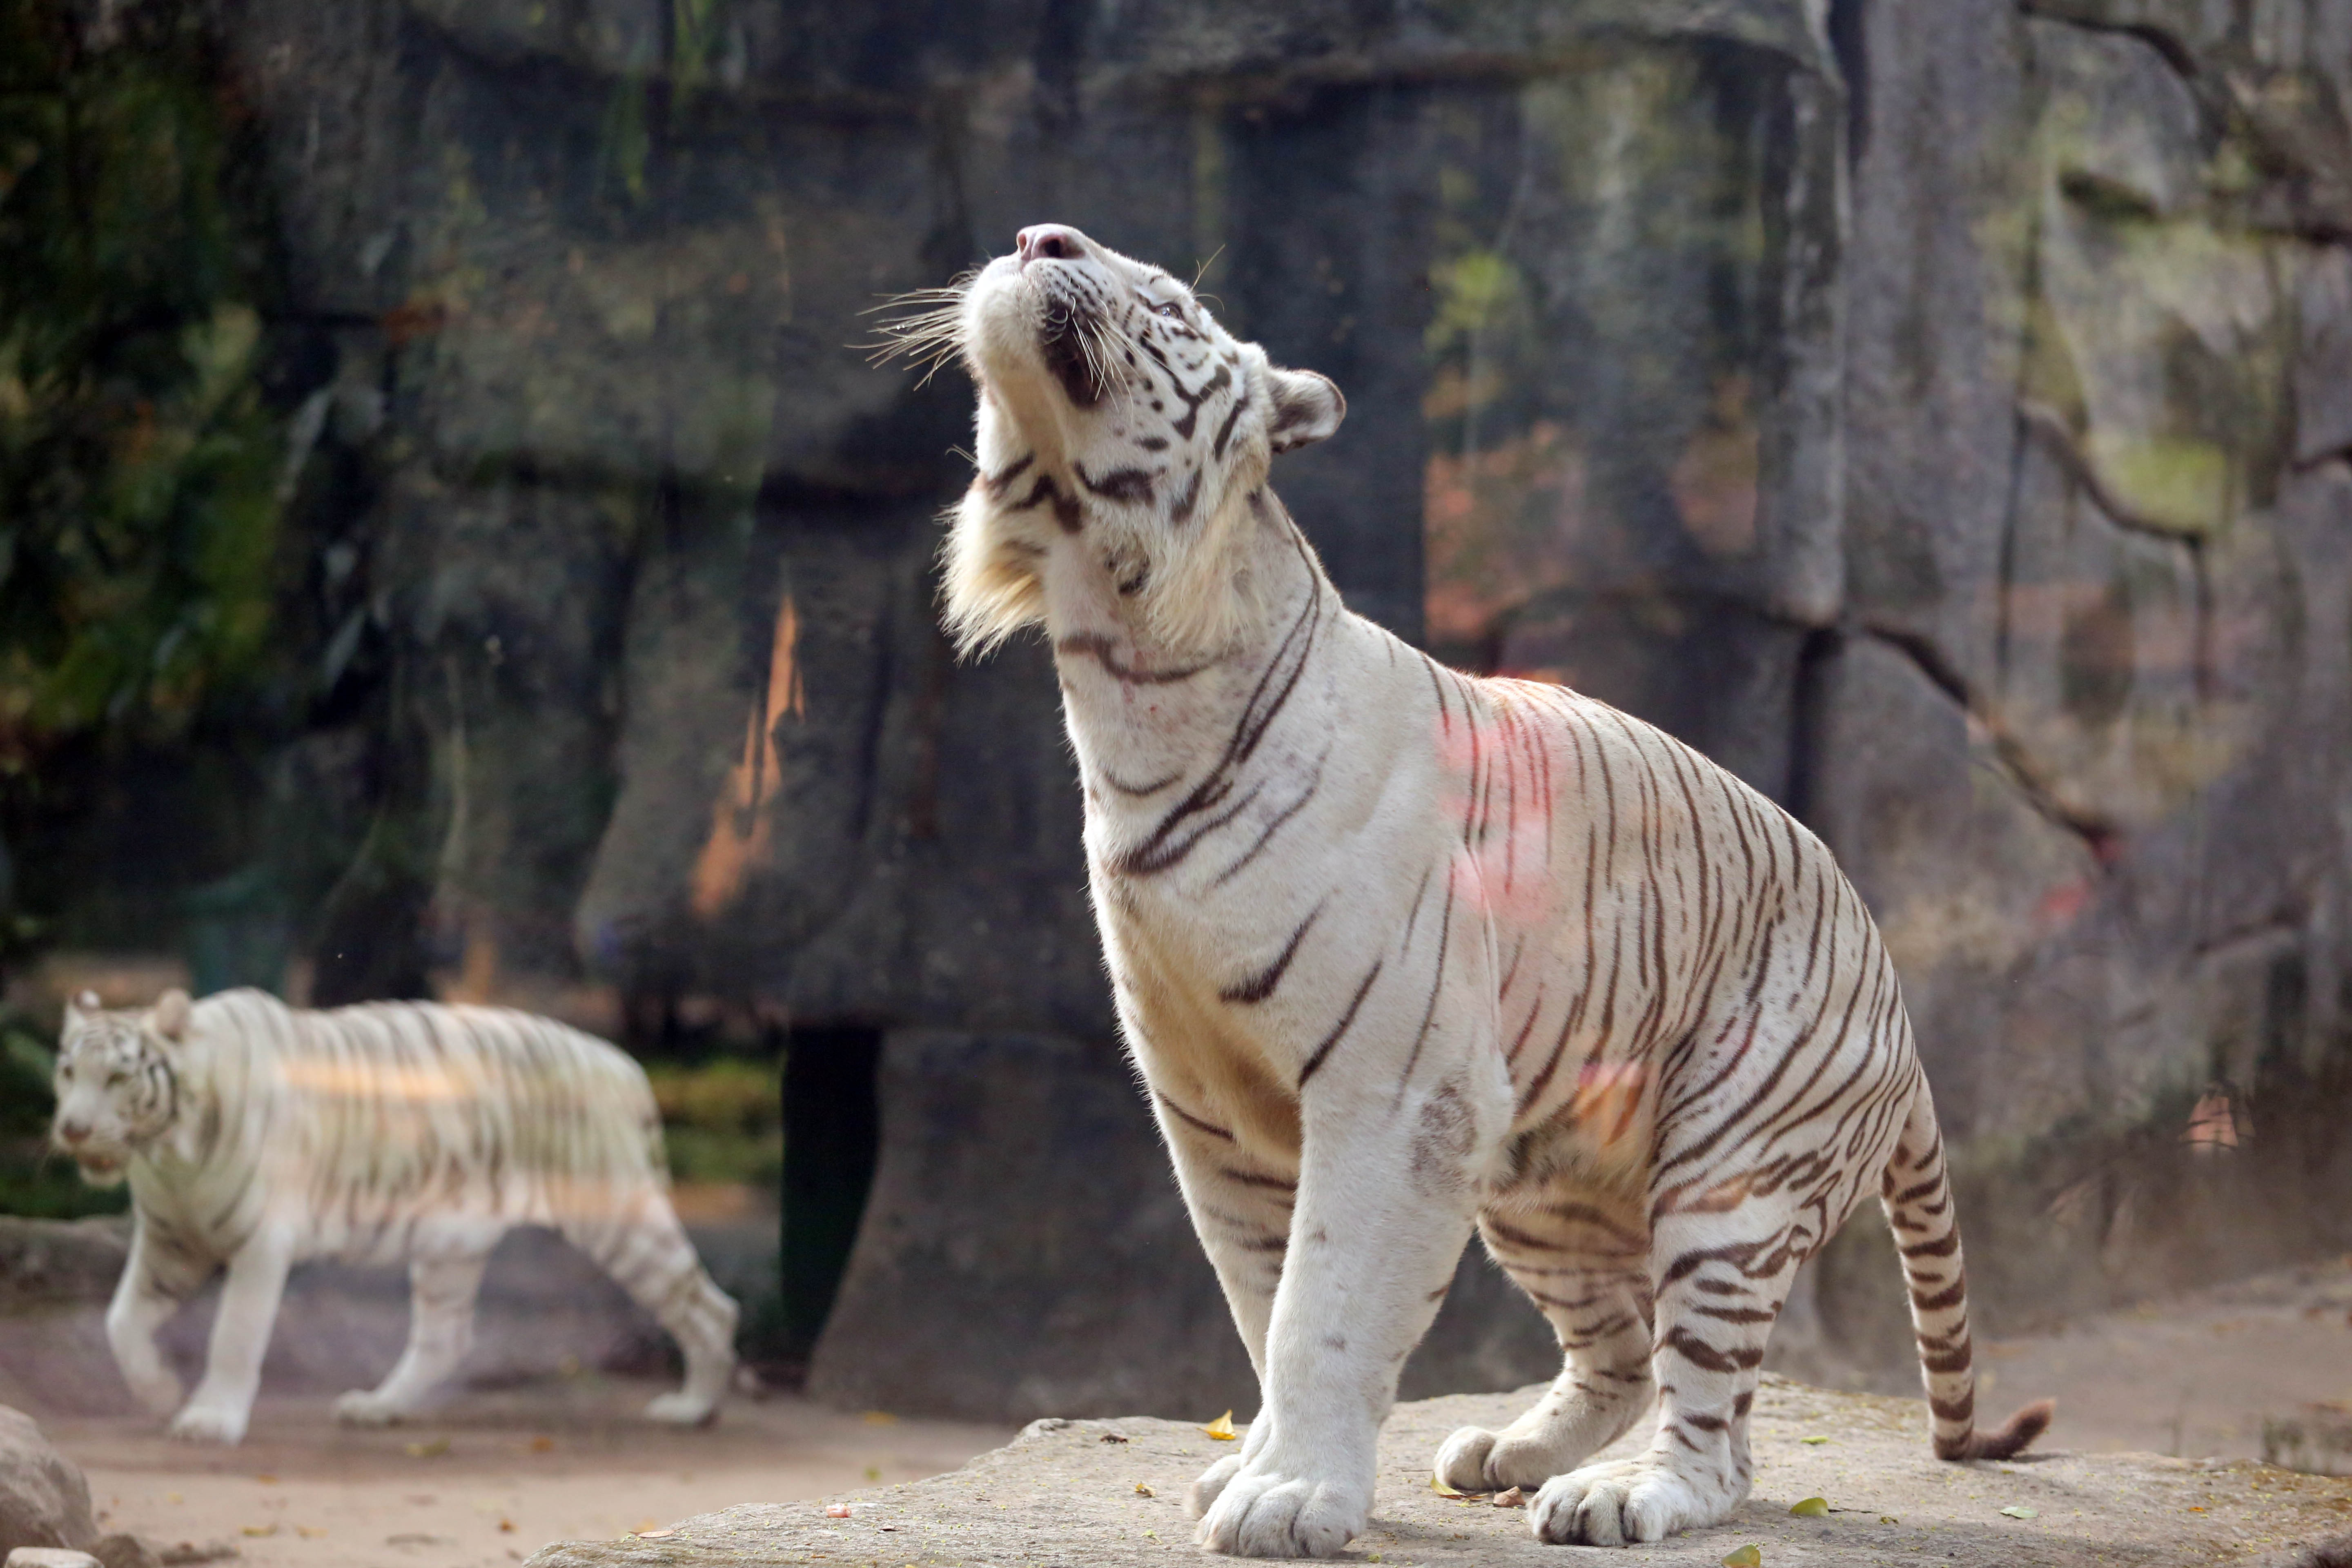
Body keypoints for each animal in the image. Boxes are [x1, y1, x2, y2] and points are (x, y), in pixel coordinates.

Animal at [53, 992, 734, 1448]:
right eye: (67, 1072)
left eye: (118, 1076)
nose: (73, 1129)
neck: (170, 1156)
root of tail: (623, 1062)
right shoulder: (170, 1243)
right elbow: (121, 1321)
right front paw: (160, 1392)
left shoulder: (260, 1243)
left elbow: (234, 1335)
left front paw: (209, 1418)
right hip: (451, 1244)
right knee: (445, 1337)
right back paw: (379, 1407)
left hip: (621, 1219)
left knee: (708, 1305)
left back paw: (693, 1408)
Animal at [908, 223, 2051, 1561]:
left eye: (1174, 304)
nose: (1039, 237)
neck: (1121, 655)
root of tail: (1901, 1014)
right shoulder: (1213, 1114)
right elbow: (1260, 1295)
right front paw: (1263, 1465)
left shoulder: (1395, 1092)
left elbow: (1324, 1304)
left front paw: (1290, 1498)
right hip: (1544, 1180)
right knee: (1621, 1348)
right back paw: (1510, 1452)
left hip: (1731, 1170)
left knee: (1718, 1430)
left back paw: (1619, 1496)